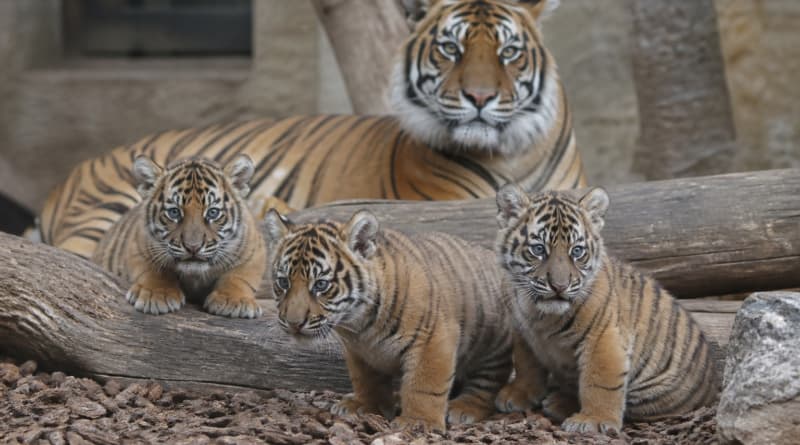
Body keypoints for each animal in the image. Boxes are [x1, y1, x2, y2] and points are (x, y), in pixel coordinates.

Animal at [40, 0, 585, 260]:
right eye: (450, 49)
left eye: (509, 52)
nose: (479, 99)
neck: (513, 153)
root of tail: (71, 176)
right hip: (102, 210)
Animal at [92, 154, 265, 318]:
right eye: (174, 212)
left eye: (213, 212)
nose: (193, 247)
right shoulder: (139, 245)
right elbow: (155, 270)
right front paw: (157, 294)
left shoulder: (253, 252)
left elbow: (239, 276)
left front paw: (234, 300)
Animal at [263, 208, 513, 431]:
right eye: (283, 282)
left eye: (321, 285)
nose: (293, 323)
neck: (359, 324)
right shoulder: (359, 351)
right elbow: (366, 380)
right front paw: (365, 406)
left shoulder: (433, 338)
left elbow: (424, 384)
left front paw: (418, 422)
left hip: (494, 344)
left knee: (487, 384)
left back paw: (462, 408)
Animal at [492, 185, 717, 434]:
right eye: (539, 249)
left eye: (577, 251)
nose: (559, 286)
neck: (539, 313)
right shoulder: (523, 330)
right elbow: (526, 363)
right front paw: (518, 394)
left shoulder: (602, 335)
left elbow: (600, 380)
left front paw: (592, 420)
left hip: (651, 391)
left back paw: (559, 404)